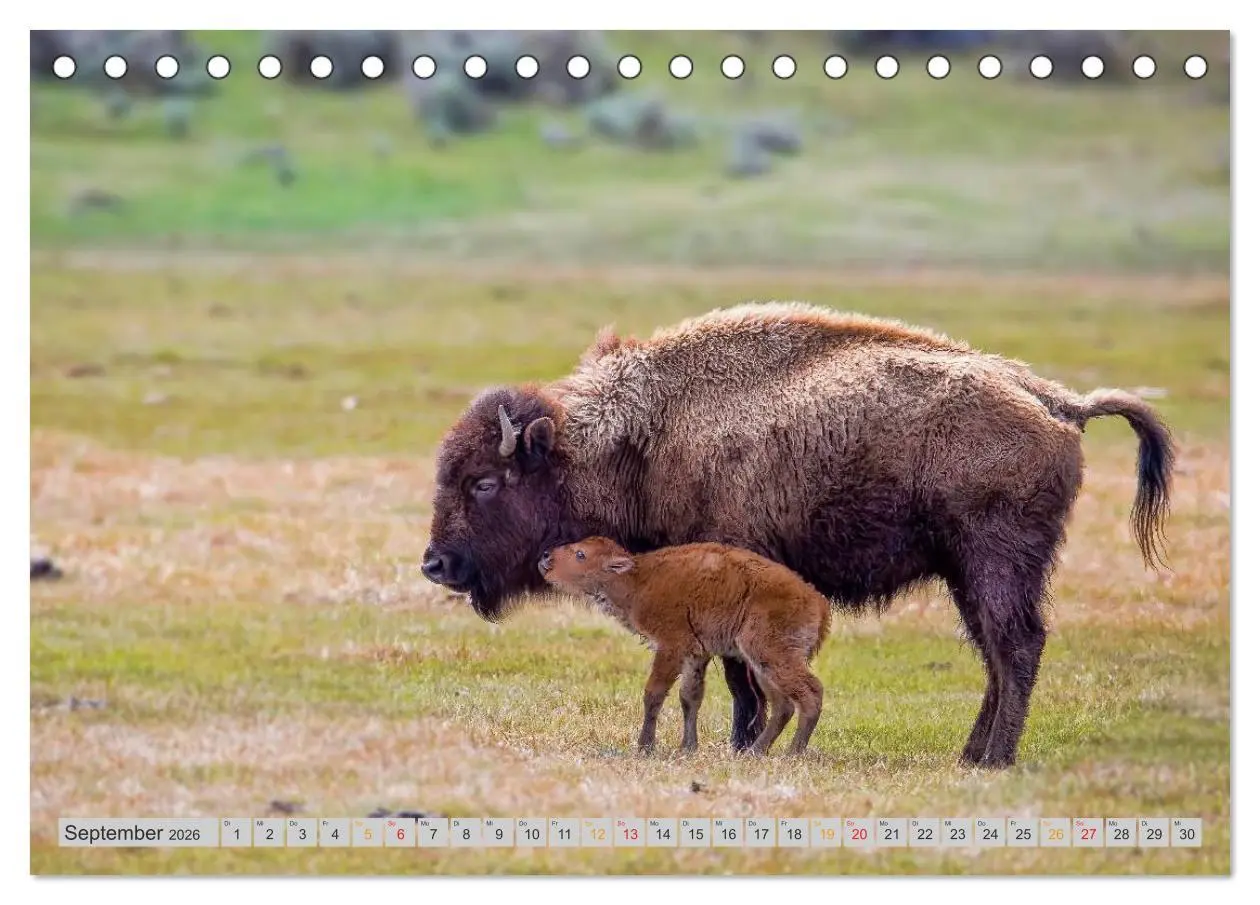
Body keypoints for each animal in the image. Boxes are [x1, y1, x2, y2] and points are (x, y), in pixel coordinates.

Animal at [422, 302, 1173, 768]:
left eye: (485, 481)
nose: (435, 563)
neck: (639, 436)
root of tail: (1057, 401)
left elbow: (739, 679)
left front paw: (739, 743)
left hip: (995, 561)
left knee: (1016, 645)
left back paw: (994, 759)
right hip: (968, 572)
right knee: (995, 650)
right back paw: (969, 754)